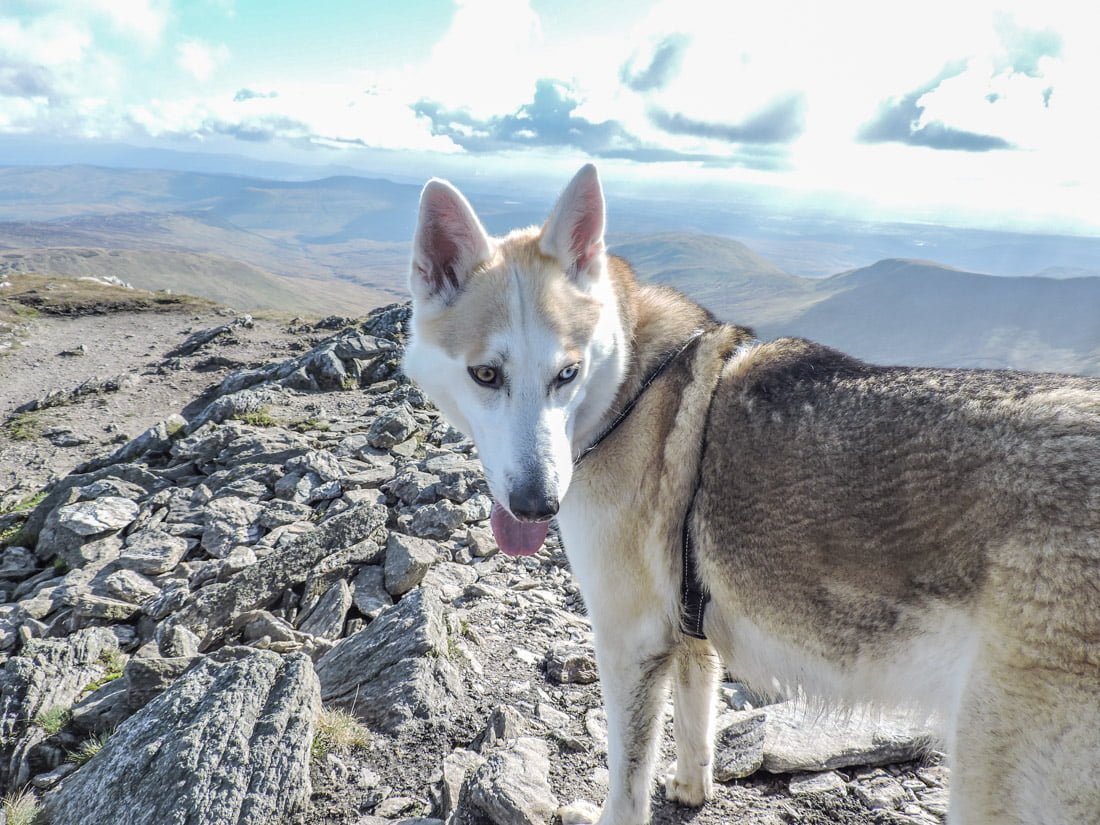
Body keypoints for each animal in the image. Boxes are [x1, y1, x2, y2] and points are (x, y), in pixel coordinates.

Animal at [404, 165, 1100, 822]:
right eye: (486, 375)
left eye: (566, 374)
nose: (537, 505)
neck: (628, 390)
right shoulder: (687, 624)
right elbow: (694, 723)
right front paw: (690, 791)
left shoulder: (630, 640)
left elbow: (626, 782)